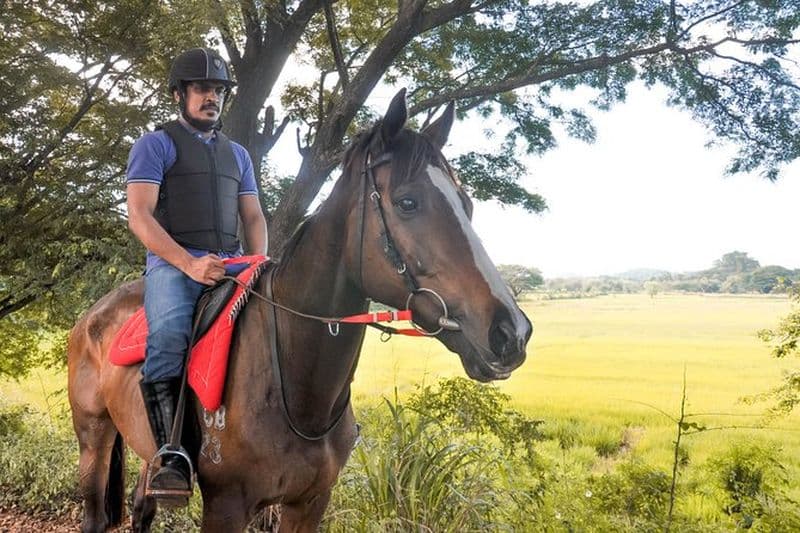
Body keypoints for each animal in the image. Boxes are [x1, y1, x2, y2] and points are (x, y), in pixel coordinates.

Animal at [68, 88, 532, 532]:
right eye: (407, 203)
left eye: (466, 204)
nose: (511, 333)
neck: (294, 380)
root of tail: (91, 317)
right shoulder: (226, 506)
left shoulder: (309, 503)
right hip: (93, 436)